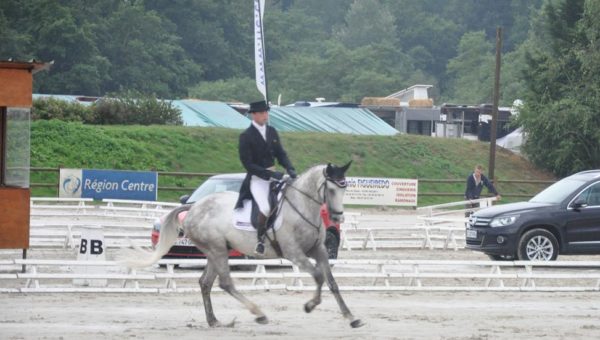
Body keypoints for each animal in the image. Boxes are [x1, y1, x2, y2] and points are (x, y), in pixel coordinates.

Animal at [124, 163, 364, 328]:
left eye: (344, 189)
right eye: (331, 190)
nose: (338, 216)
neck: (302, 207)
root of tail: (193, 208)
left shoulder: (319, 249)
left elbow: (331, 282)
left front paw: (351, 317)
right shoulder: (293, 252)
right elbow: (318, 276)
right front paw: (310, 305)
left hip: (216, 251)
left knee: (205, 282)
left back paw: (214, 320)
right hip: (218, 250)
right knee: (225, 283)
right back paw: (258, 313)